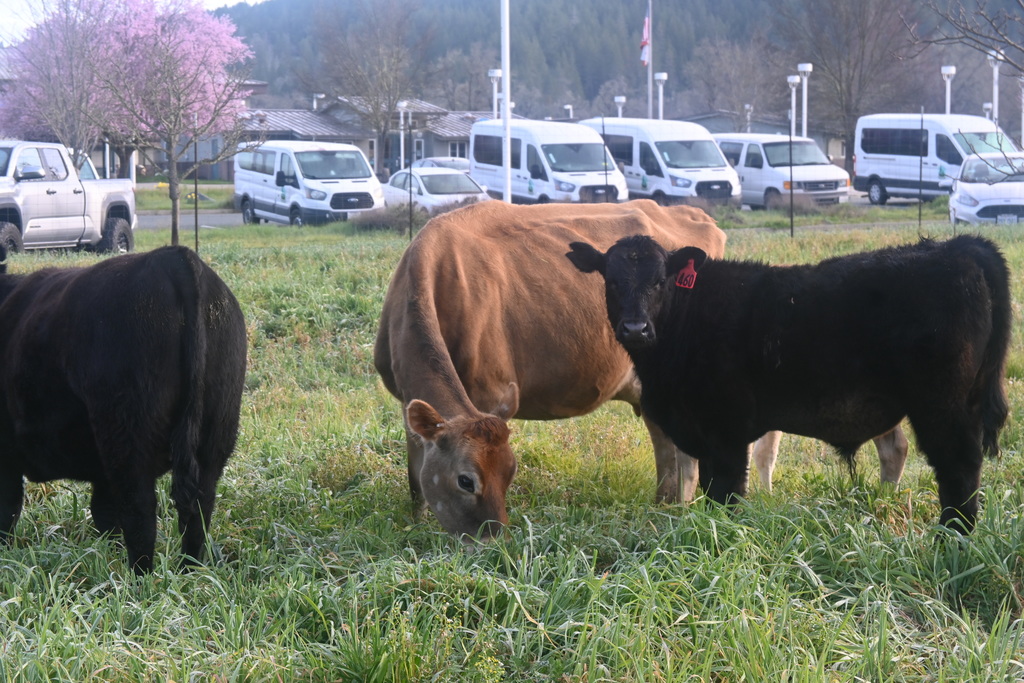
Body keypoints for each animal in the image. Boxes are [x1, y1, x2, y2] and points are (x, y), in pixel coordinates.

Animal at [0, 246, 247, 573]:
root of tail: (169, 256)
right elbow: (104, 515)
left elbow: (7, 510)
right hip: (215, 433)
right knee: (199, 509)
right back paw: (190, 571)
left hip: (127, 434)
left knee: (140, 511)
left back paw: (139, 577)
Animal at [373, 199, 905, 539]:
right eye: (466, 479)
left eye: (510, 471)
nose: (492, 542)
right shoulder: (409, 402)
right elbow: (414, 470)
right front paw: (417, 521)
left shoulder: (495, 393)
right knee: (674, 455)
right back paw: (668, 504)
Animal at [567, 234, 1011, 532]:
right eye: (611, 281)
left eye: (660, 281)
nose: (635, 328)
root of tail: (958, 246)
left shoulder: (726, 432)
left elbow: (725, 493)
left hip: (944, 406)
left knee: (958, 469)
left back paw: (952, 538)